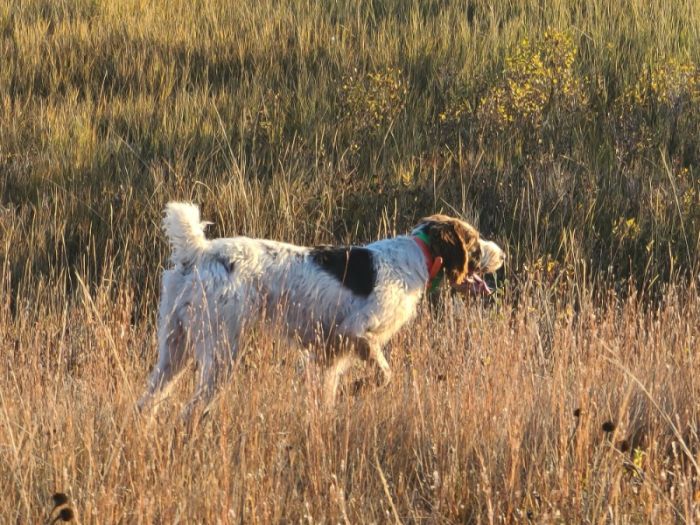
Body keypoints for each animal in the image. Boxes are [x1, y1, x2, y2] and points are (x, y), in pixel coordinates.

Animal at [137, 203, 504, 412]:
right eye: (473, 242)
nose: (502, 254)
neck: (418, 254)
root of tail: (198, 252)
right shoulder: (357, 332)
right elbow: (384, 375)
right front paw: (358, 389)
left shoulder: (328, 354)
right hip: (220, 351)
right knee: (190, 409)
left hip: (174, 349)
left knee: (147, 402)